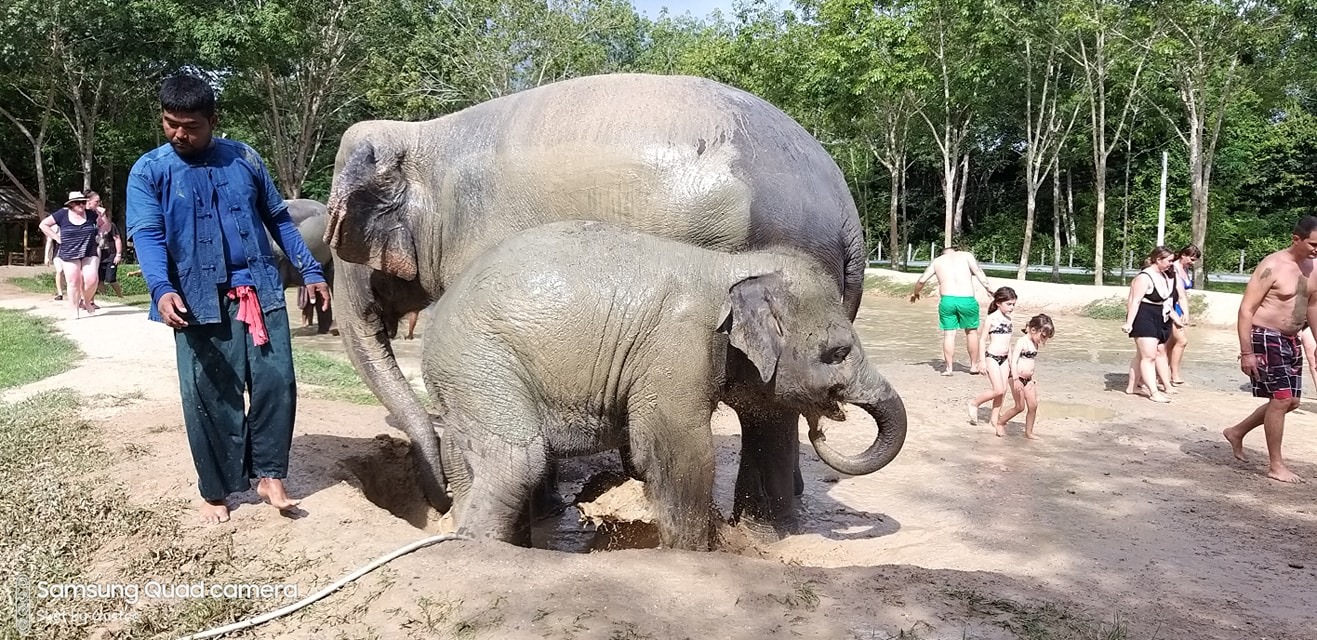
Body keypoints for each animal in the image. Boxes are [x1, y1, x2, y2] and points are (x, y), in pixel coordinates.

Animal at [326, 73, 868, 532]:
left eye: (341, 240)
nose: (436, 507)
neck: (425, 137)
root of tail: (846, 211)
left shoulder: (477, 244)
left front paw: (543, 512)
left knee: (767, 408)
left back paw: (764, 531)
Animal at [423, 221, 906, 550]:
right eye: (837, 353)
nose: (822, 425)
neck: (730, 267)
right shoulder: (677, 346)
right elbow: (683, 449)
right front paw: (695, 553)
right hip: (481, 361)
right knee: (516, 460)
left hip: (463, 379)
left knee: (462, 454)